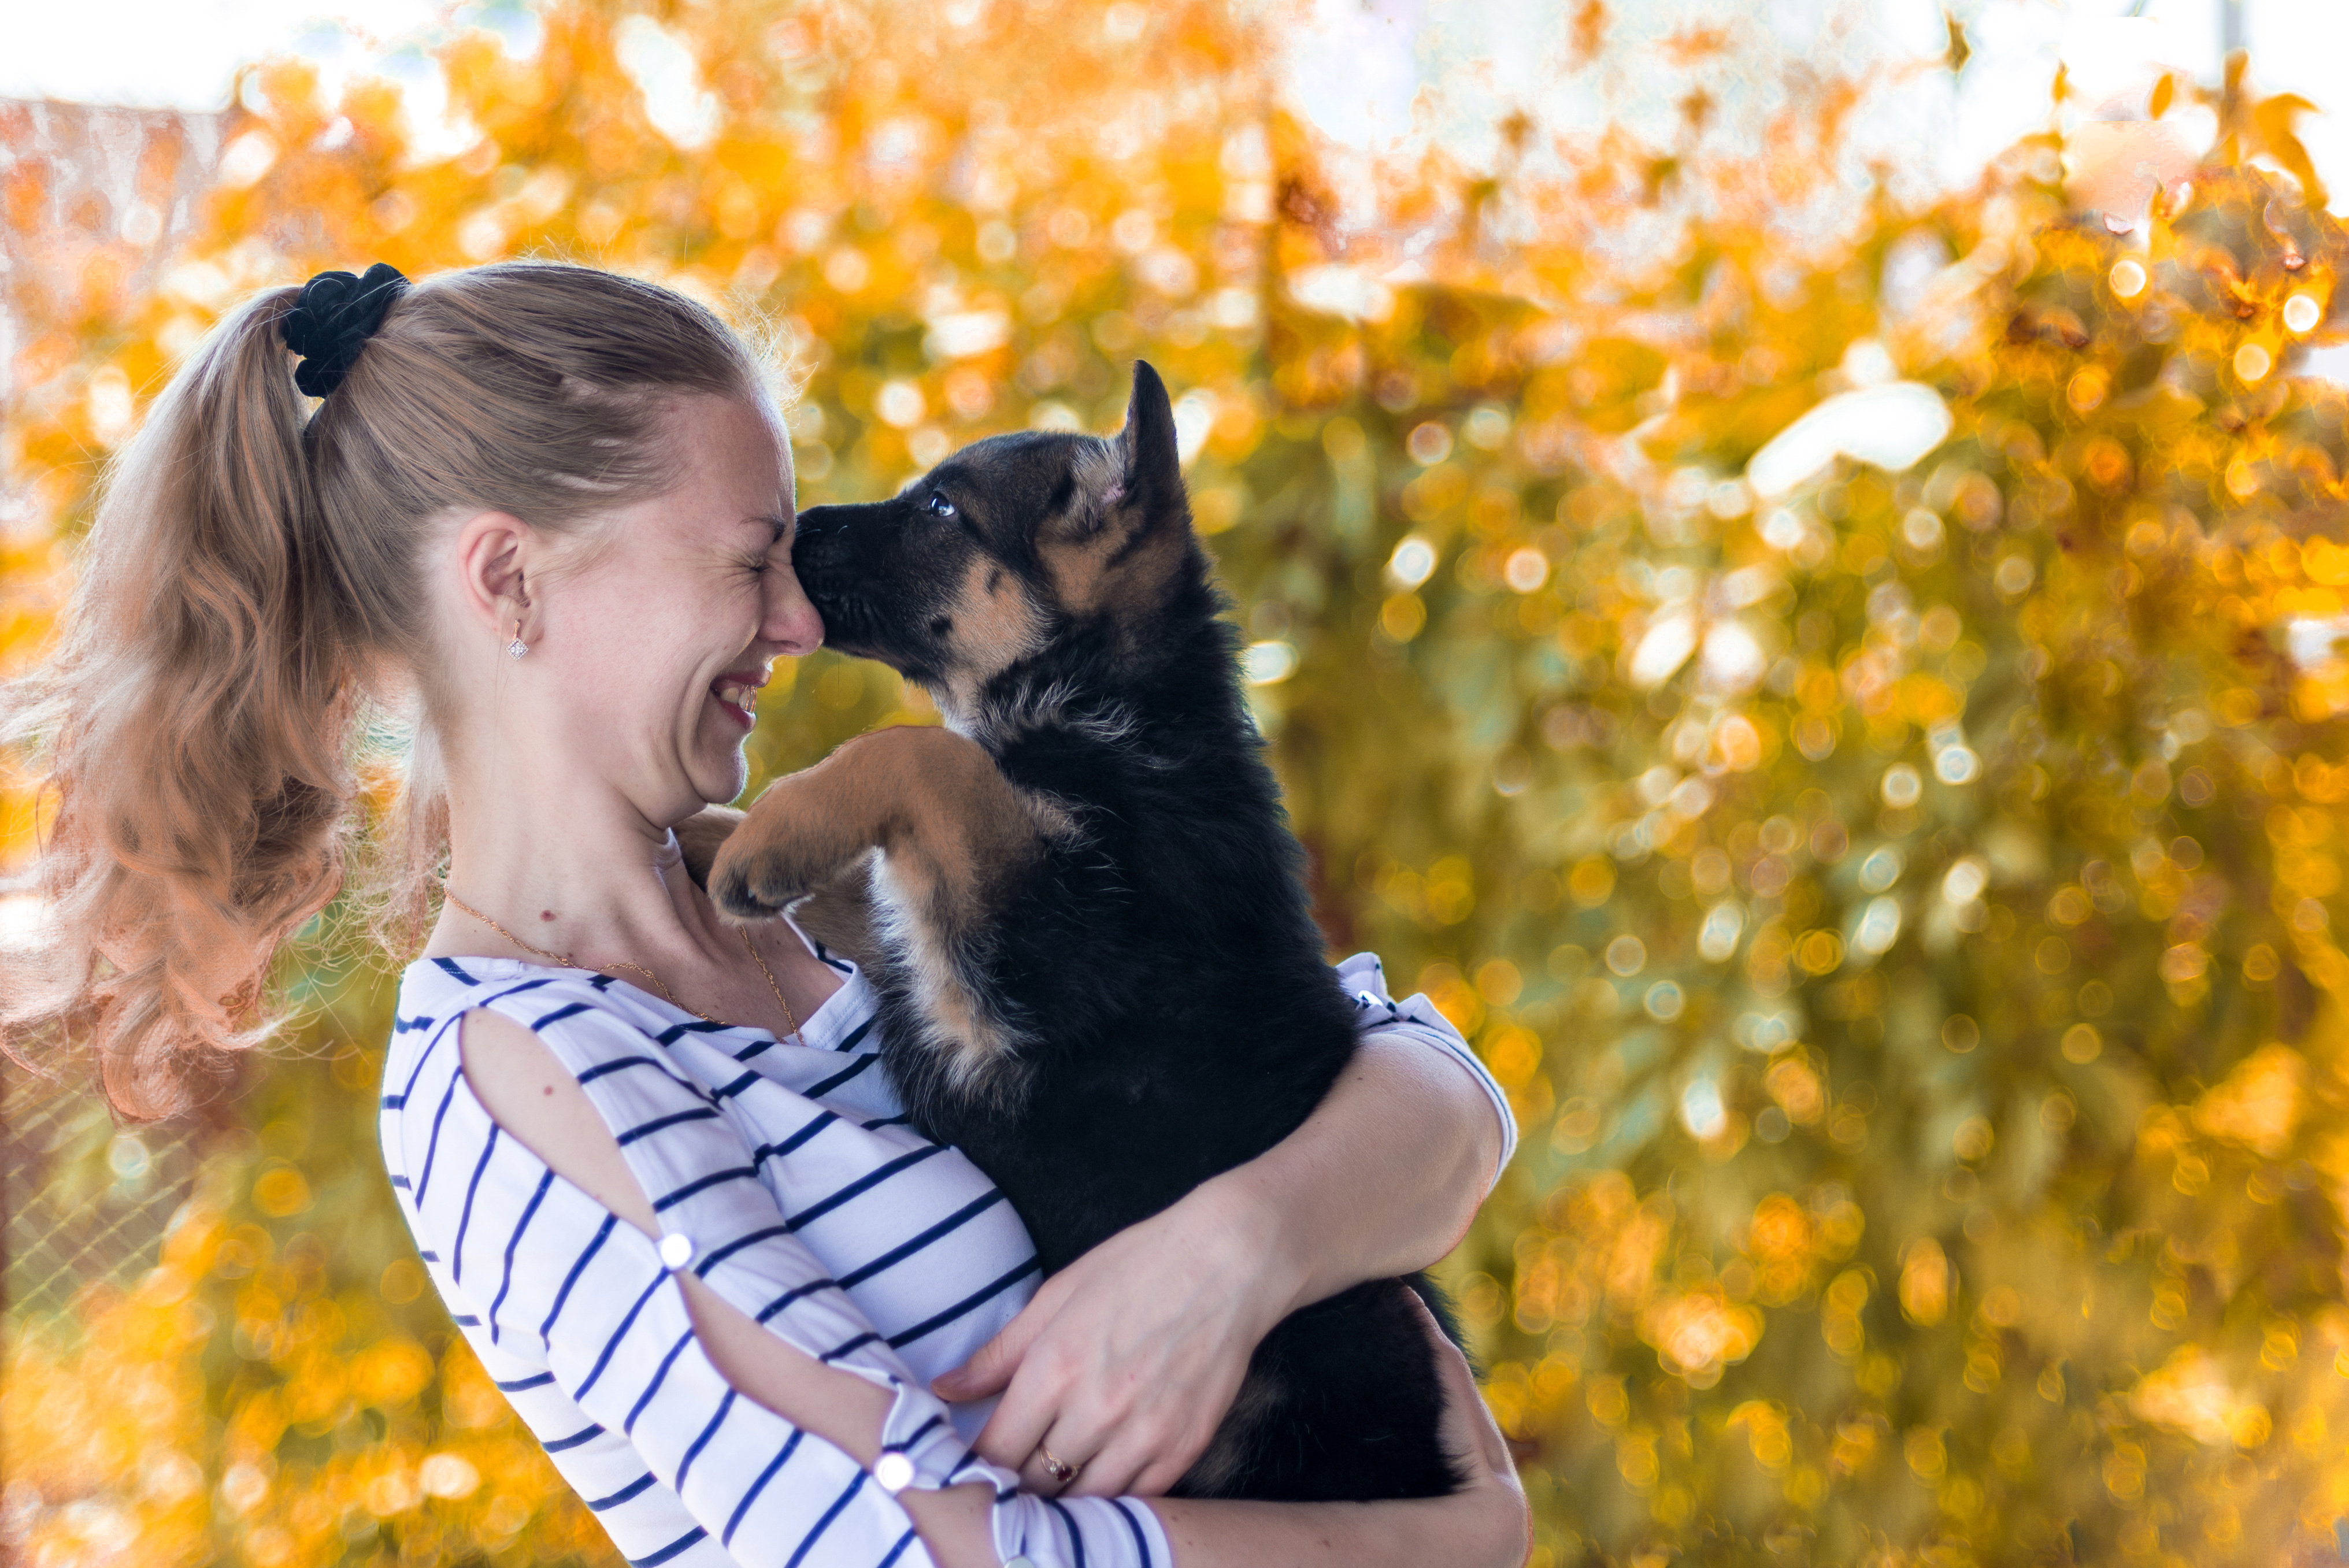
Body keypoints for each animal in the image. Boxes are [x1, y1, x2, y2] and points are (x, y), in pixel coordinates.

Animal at [695, 361, 1456, 1502]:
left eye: (940, 509)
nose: (792, 532)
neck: (1118, 712)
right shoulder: (934, 941)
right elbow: (883, 851)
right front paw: (709, 836)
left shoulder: (1034, 966)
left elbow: (924, 755)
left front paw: (771, 832)